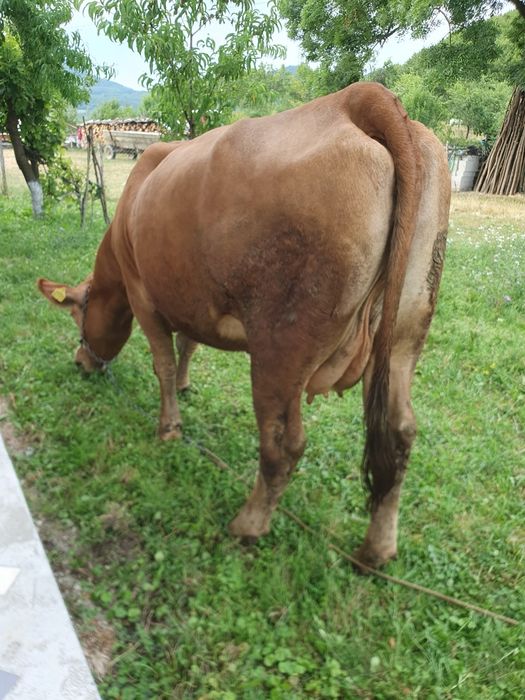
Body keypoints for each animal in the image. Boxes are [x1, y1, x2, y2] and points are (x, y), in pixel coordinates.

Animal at [38, 82, 450, 569]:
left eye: (79, 316)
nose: (81, 362)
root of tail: (356, 98)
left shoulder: (143, 295)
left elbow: (163, 362)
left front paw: (169, 428)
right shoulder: (191, 296)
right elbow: (189, 345)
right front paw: (185, 385)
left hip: (281, 346)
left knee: (283, 444)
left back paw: (248, 525)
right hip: (406, 332)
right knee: (400, 432)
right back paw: (376, 549)